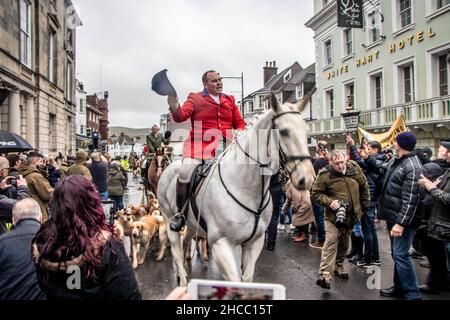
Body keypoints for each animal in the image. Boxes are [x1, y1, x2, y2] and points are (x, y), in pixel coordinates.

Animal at [156, 91, 314, 286]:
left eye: (307, 130)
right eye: (284, 132)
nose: (307, 178)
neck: (247, 188)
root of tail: (170, 166)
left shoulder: (254, 243)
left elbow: (247, 279)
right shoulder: (220, 243)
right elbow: (235, 281)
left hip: (192, 224)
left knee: (185, 243)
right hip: (169, 219)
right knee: (177, 252)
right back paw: (182, 280)